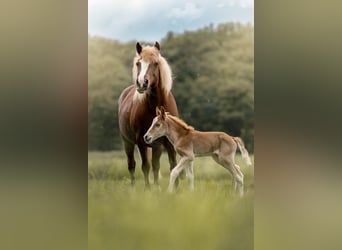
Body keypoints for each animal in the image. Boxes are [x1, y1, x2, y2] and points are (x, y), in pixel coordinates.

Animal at [118, 42, 179, 188]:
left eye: (155, 63)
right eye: (138, 63)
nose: (141, 83)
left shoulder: (168, 142)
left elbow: (172, 165)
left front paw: (176, 189)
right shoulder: (141, 141)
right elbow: (145, 166)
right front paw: (147, 189)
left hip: (156, 146)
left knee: (155, 165)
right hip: (128, 142)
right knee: (132, 165)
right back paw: (133, 187)